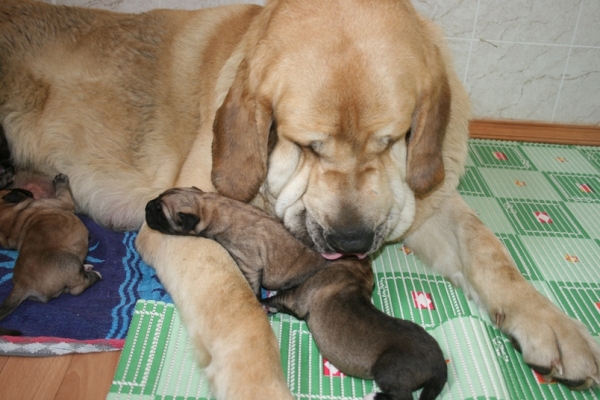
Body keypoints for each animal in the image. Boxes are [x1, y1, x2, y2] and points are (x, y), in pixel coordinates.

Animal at [0, 174, 101, 334]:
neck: (13, 219)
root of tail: (22, 285)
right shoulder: (62, 201)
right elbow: (63, 192)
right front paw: (60, 180)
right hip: (71, 262)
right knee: (77, 288)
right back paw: (93, 275)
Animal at [144, 188, 446, 400]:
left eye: (159, 210)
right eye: (156, 201)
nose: (147, 205)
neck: (210, 205)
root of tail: (439, 366)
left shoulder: (249, 263)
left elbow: (258, 288)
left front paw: (262, 300)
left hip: (389, 368)